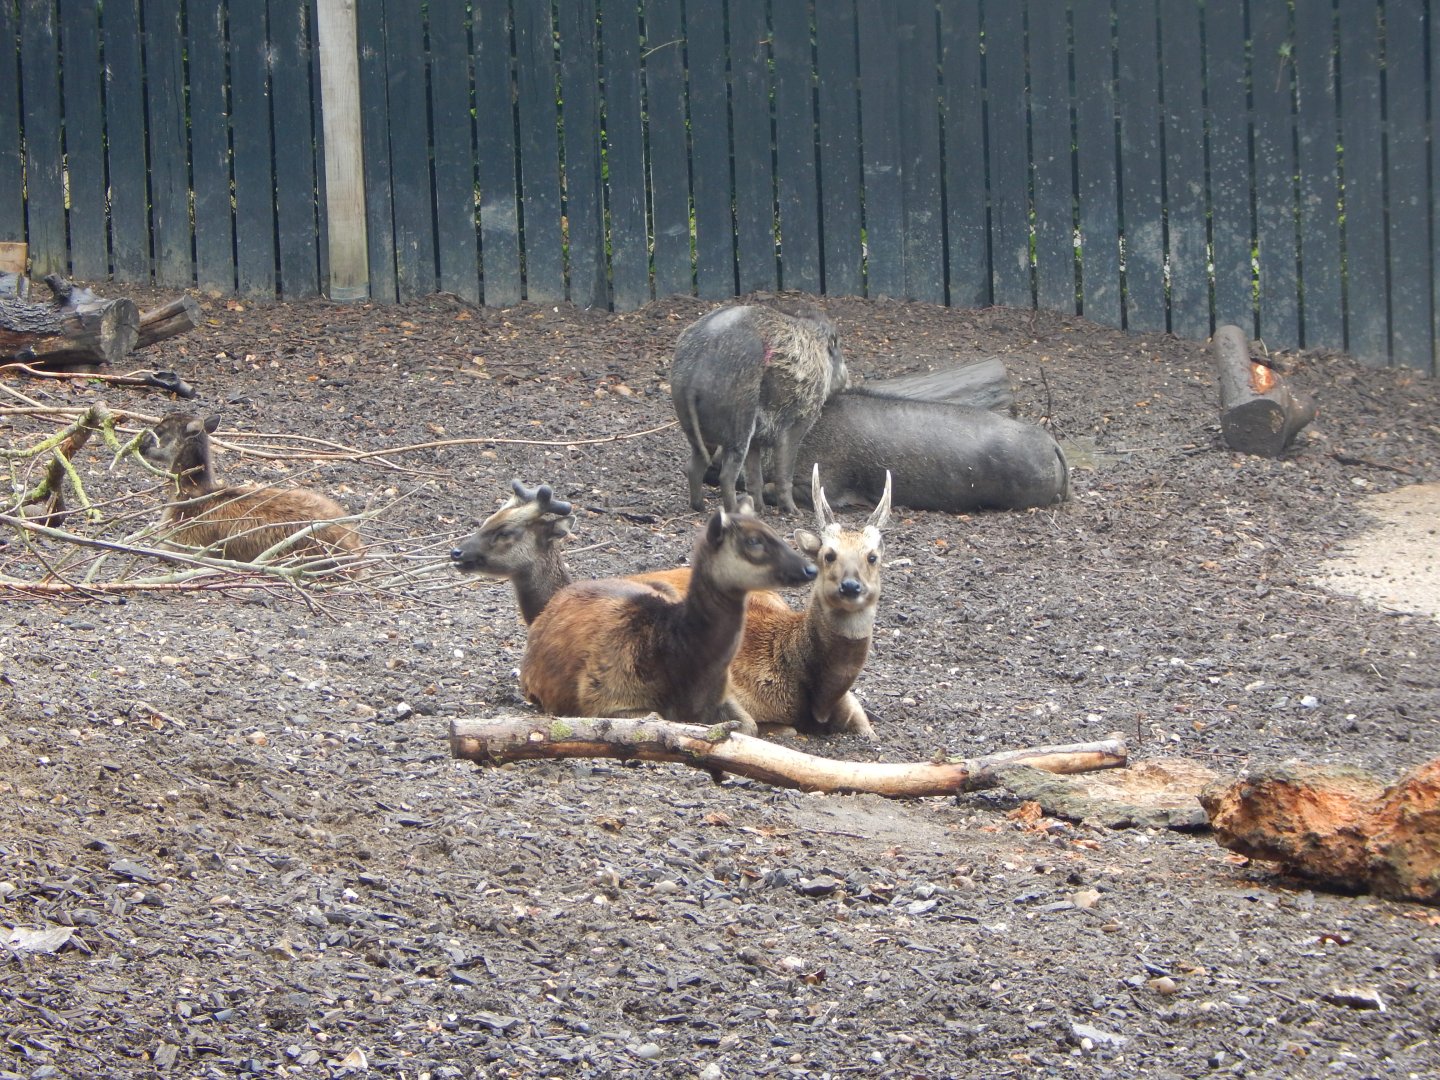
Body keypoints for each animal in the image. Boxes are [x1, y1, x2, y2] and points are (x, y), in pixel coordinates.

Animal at [671, 301, 849, 515]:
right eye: (838, 349)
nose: (848, 380)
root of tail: (694, 374)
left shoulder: (757, 439)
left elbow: (755, 476)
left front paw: (761, 508)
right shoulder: (797, 424)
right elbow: (784, 472)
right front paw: (793, 512)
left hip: (698, 432)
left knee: (694, 465)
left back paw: (702, 508)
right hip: (738, 427)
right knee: (726, 476)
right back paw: (736, 512)